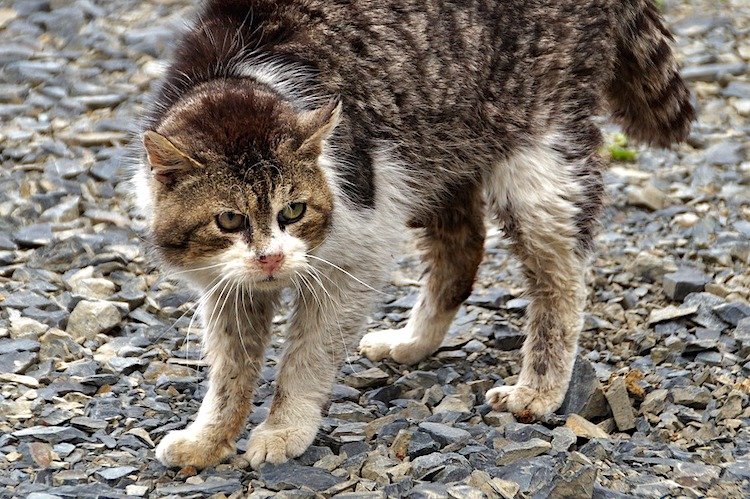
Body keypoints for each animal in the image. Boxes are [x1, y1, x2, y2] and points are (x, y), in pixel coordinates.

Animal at [132, 0, 696, 470]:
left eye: (293, 210)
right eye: (228, 220)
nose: (270, 258)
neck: (237, 77)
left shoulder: (356, 254)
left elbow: (306, 357)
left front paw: (285, 429)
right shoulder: (227, 284)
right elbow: (230, 370)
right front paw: (209, 439)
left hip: (537, 157)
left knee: (563, 279)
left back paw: (538, 389)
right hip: (436, 147)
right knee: (462, 249)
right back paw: (414, 341)